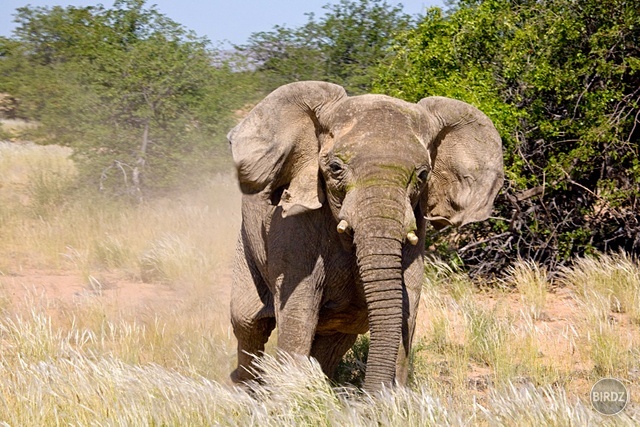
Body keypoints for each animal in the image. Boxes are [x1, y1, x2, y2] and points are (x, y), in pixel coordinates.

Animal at [228, 82, 502, 392]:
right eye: (335, 168)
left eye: (422, 175)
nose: (373, 393)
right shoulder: (293, 231)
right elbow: (299, 310)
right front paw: (293, 394)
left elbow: (407, 303)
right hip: (247, 243)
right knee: (249, 322)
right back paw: (246, 389)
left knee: (336, 337)